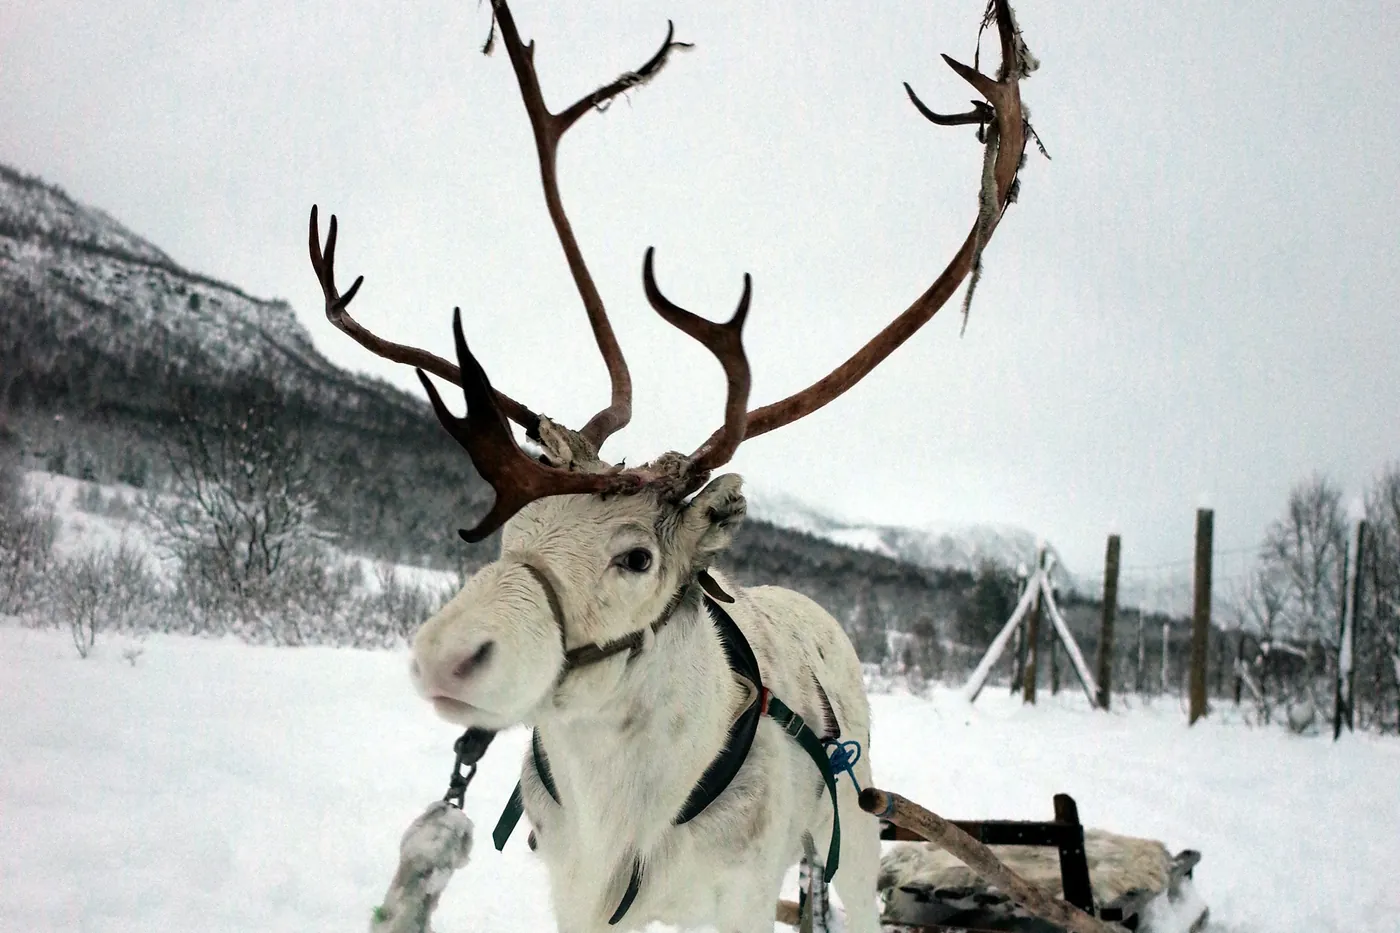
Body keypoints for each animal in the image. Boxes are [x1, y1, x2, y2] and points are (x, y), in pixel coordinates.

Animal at [307, 2, 1036, 931]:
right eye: (513, 532)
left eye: (636, 555)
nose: (446, 653)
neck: (623, 819)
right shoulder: (572, 892)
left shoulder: (736, 896)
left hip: (863, 818)